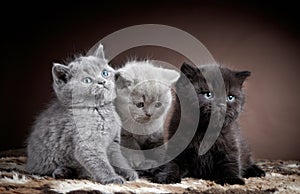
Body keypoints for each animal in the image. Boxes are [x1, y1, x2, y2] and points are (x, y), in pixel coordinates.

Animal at [25, 44, 138, 185]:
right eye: (87, 80)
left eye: (104, 73)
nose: (102, 82)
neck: (99, 110)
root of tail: (29, 163)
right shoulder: (88, 144)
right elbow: (100, 163)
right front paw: (112, 178)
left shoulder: (113, 143)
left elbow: (118, 160)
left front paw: (128, 173)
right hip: (43, 164)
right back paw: (62, 171)